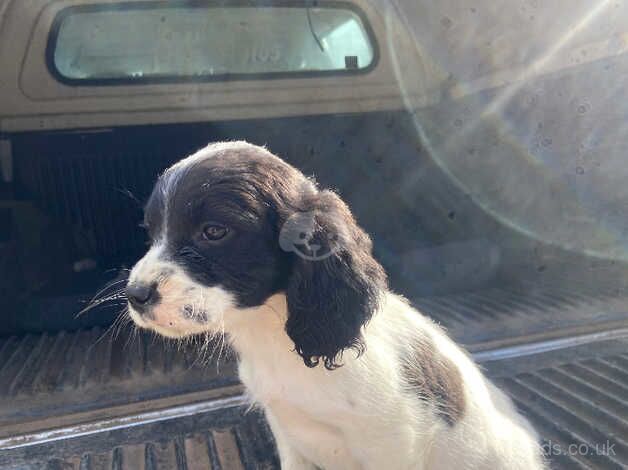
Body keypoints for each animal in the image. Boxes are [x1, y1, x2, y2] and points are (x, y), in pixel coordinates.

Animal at [124, 141, 544, 470]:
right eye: (151, 231)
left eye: (214, 231)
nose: (135, 295)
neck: (273, 334)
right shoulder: (287, 432)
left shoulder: (391, 441)